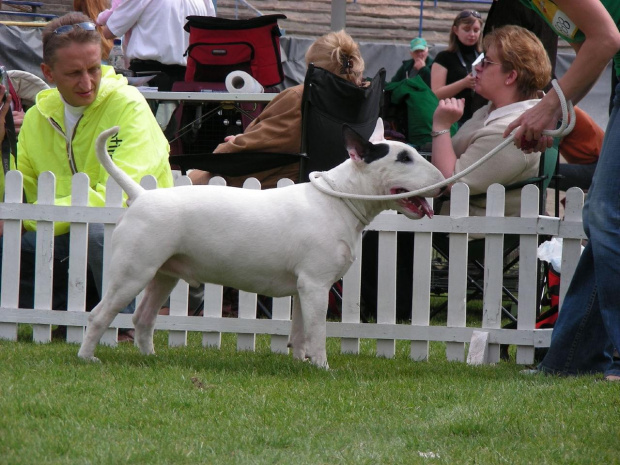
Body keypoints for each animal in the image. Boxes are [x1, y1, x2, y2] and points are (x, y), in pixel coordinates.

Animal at [78, 119, 446, 366]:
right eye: (403, 158)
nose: (444, 184)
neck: (339, 199)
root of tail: (141, 195)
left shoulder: (303, 287)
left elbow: (299, 331)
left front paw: (300, 364)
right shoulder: (316, 284)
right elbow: (318, 331)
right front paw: (323, 367)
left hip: (164, 274)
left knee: (143, 318)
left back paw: (150, 358)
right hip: (134, 271)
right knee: (98, 315)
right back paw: (87, 358)